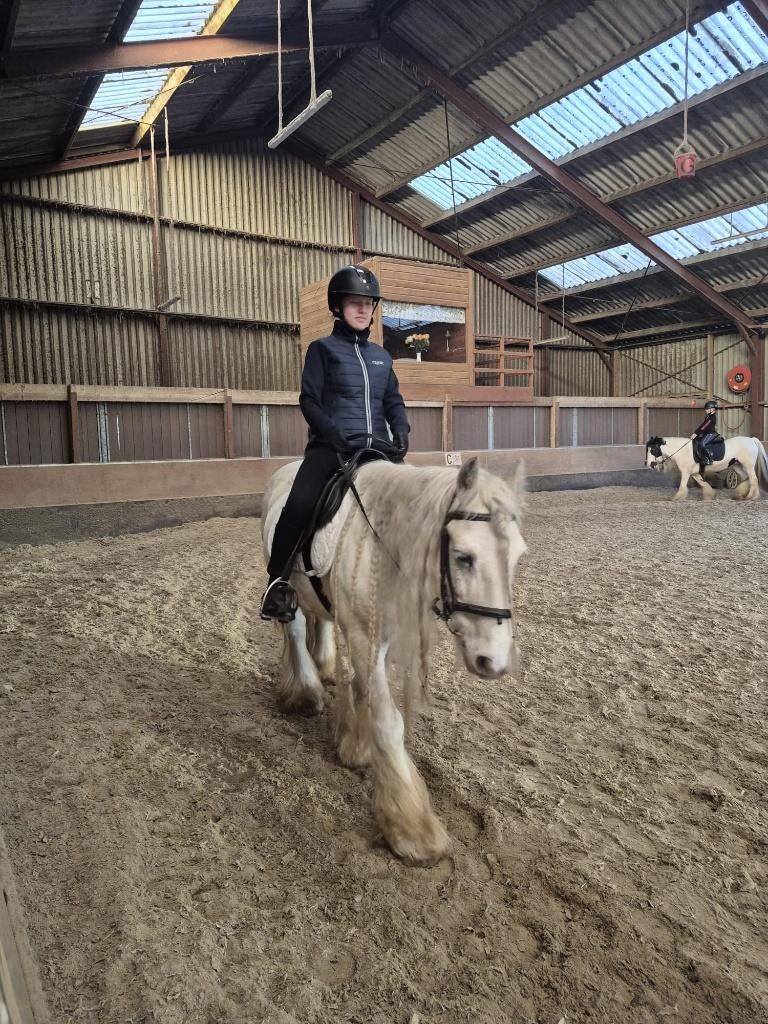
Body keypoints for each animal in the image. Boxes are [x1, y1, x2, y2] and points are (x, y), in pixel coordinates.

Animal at [261, 456, 526, 866]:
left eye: (516, 556)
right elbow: (388, 721)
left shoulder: (378, 637)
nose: (493, 660)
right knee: (296, 626)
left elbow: (364, 689)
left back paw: (324, 666)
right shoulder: (363, 637)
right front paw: (413, 830)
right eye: (464, 557)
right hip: (287, 586)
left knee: (320, 619)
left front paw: (355, 746)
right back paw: (305, 692)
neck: (385, 544)